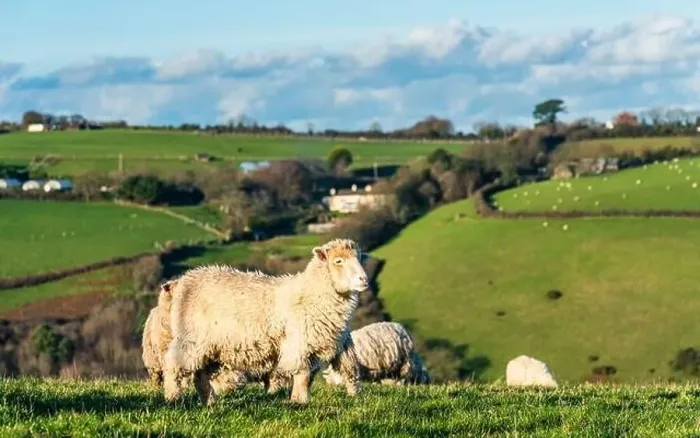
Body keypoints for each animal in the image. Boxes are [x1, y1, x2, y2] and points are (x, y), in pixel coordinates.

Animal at [163, 238, 369, 405]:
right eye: (338, 261)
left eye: (359, 258)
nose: (364, 279)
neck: (311, 293)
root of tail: (185, 280)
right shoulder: (298, 344)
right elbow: (302, 374)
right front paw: (299, 401)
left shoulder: (335, 342)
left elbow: (343, 369)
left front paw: (352, 395)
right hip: (191, 338)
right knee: (173, 366)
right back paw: (173, 398)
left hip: (211, 346)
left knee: (200, 374)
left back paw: (209, 401)